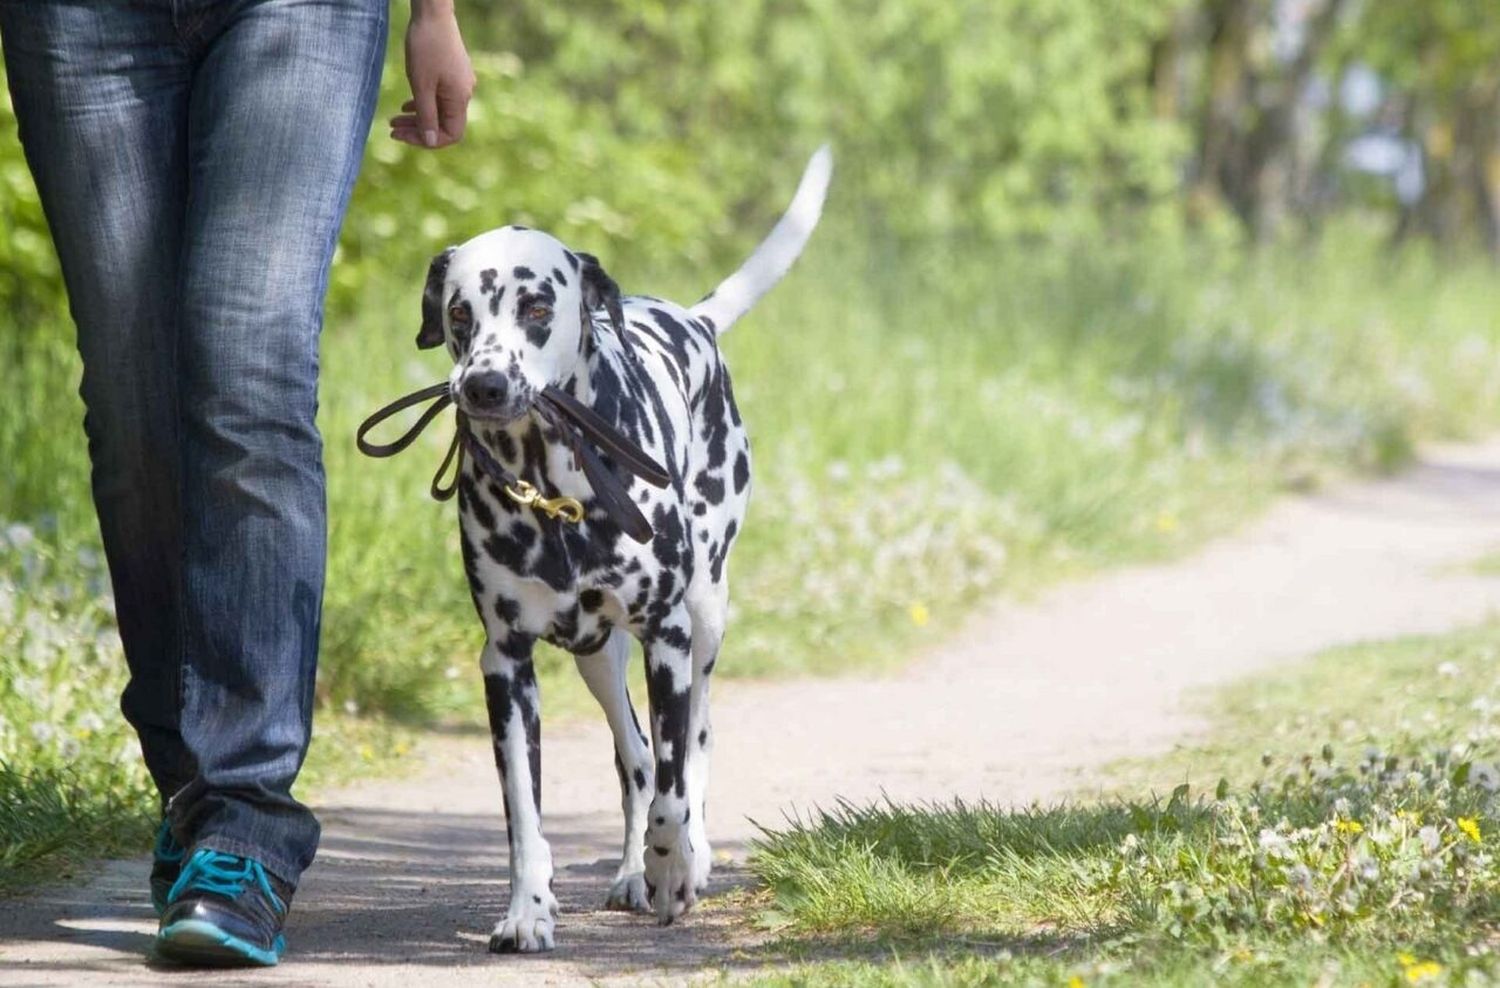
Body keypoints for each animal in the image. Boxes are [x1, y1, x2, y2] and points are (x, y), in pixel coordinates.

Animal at [411, 146, 834, 953]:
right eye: (458, 313)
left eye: (536, 308)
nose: (483, 386)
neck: (552, 491)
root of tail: (692, 318)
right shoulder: (505, 665)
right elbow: (526, 815)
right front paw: (528, 910)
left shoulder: (666, 638)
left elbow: (674, 788)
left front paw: (677, 867)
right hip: (594, 656)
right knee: (635, 756)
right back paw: (635, 869)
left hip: (705, 619)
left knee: (690, 748)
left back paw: (682, 858)